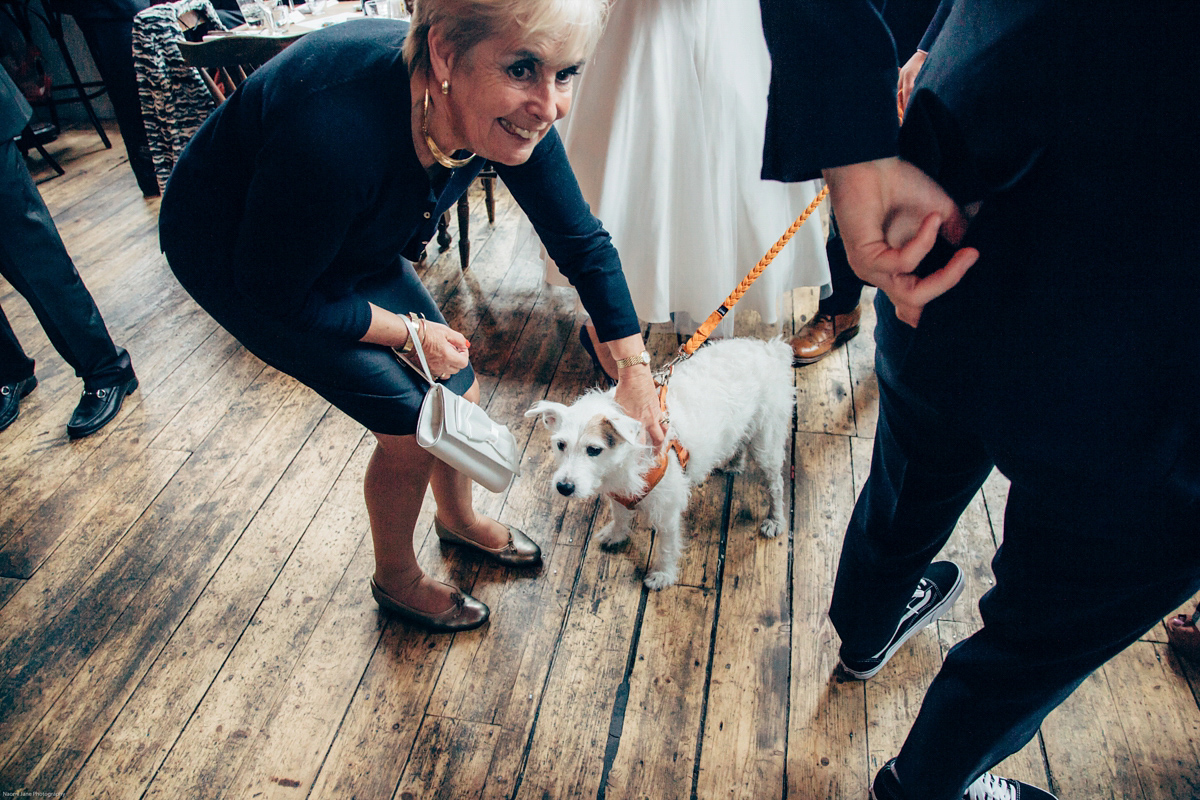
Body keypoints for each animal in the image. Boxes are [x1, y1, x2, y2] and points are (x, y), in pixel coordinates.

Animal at [528, 335, 796, 587]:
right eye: (560, 445)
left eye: (594, 450)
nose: (564, 487)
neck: (622, 465)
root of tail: (770, 349)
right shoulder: (618, 493)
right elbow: (619, 515)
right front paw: (616, 534)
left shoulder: (667, 510)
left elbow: (666, 546)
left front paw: (662, 574)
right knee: (740, 442)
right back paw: (735, 464)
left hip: (766, 445)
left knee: (776, 484)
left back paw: (775, 519)